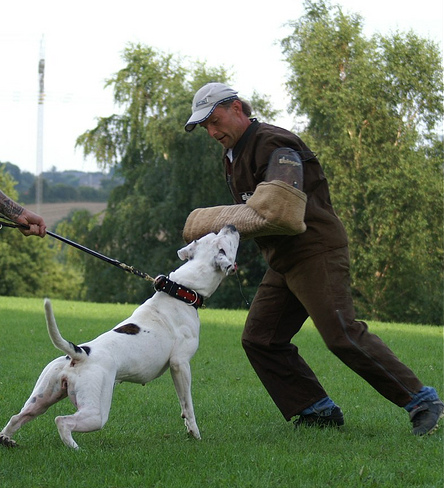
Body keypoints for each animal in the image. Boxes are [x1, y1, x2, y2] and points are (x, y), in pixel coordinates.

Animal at [0, 225, 239, 450]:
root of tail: (79, 354)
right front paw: (194, 433)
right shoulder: (180, 365)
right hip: (96, 412)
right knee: (62, 421)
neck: (182, 290)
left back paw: (7, 440)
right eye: (225, 243)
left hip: (41, 399)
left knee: (17, 417)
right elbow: (187, 404)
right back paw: (75, 448)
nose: (232, 226)